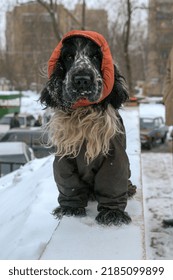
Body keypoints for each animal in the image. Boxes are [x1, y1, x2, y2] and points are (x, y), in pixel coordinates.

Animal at [40, 30, 135, 225]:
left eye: (96, 56)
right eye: (68, 56)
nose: (82, 81)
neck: (83, 114)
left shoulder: (113, 155)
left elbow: (112, 182)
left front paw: (112, 214)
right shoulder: (65, 157)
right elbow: (69, 185)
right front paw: (70, 209)